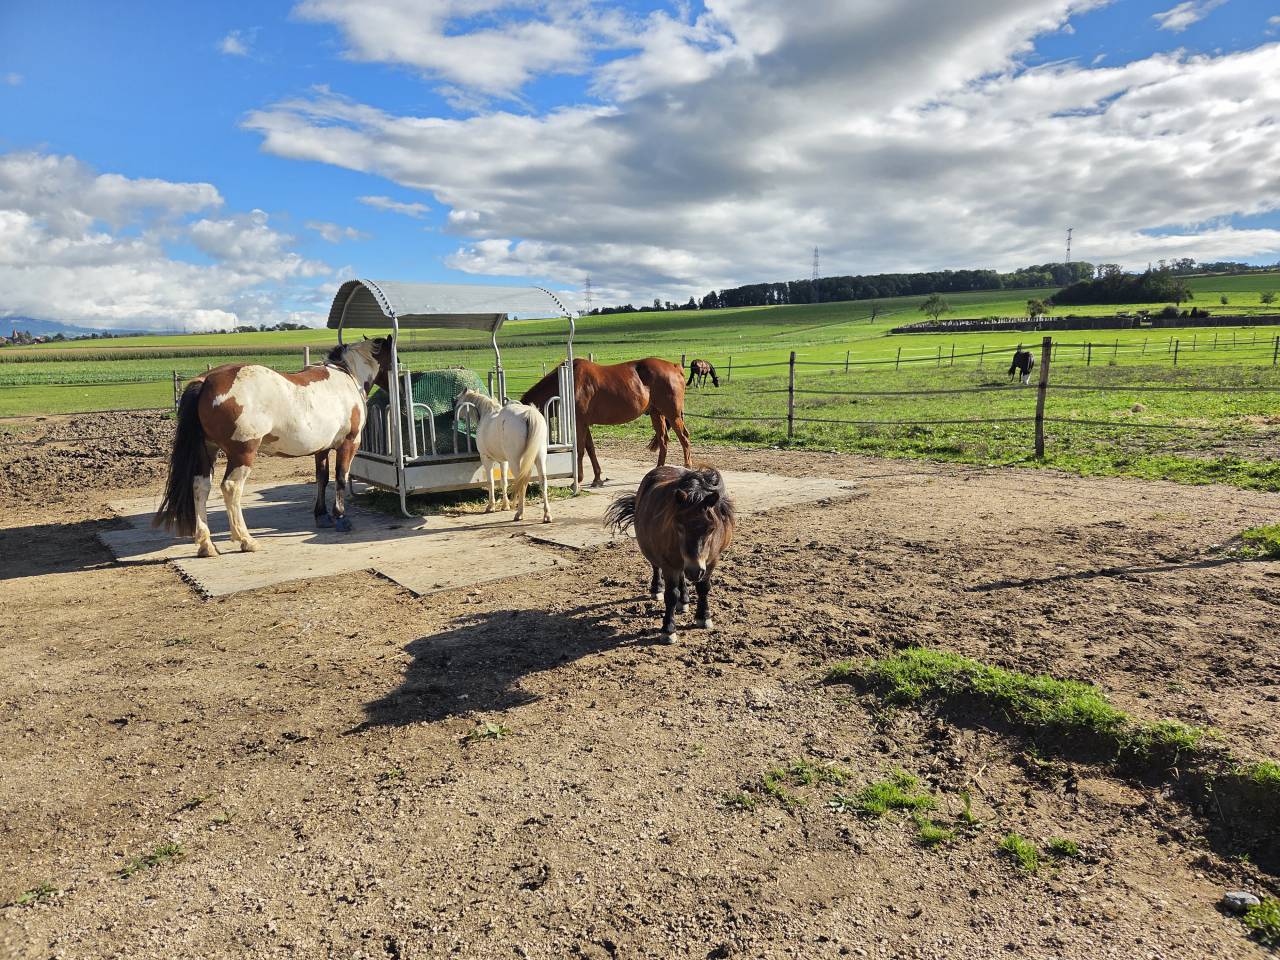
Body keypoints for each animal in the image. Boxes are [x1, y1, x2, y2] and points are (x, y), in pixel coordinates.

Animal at [153, 337, 393, 556]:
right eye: (393, 358)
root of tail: (206, 381)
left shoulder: (322, 448)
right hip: (242, 453)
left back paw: (206, 545)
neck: (346, 377)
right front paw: (341, 517)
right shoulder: (349, 443)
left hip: (208, 450)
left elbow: (322, 479)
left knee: (200, 487)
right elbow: (341, 477)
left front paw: (322, 516)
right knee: (231, 487)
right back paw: (246, 540)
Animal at [454, 389, 552, 523]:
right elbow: (503, 481)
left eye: (458, 400)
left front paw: (491, 506)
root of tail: (528, 413)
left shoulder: (486, 458)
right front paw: (505, 505)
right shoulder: (503, 461)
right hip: (539, 456)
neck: (486, 415)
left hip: (515, 461)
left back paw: (519, 513)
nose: (453, 416)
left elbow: (490, 482)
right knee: (543, 481)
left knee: (522, 482)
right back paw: (547, 515)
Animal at [521, 357, 691, 488]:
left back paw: (687, 467)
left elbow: (580, 450)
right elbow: (590, 449)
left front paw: (578, 480)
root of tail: (676, 367)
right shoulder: (585, 424)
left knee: (684, 438)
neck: (569, 383)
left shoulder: (580, 423)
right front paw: (597, 478)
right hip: (657, 414)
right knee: (663, 440)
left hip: (672, 414)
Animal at [604, 465, 735, 643]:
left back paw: (684, 600)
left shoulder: (711, 561)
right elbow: (671, 595)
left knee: (682, 576)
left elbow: (703, 588)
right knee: (656, 567)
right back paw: (657, 589)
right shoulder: (669, 565)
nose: (694, 570)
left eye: (711, 528)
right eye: (679, 526)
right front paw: (668, 629)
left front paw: (703, 616)